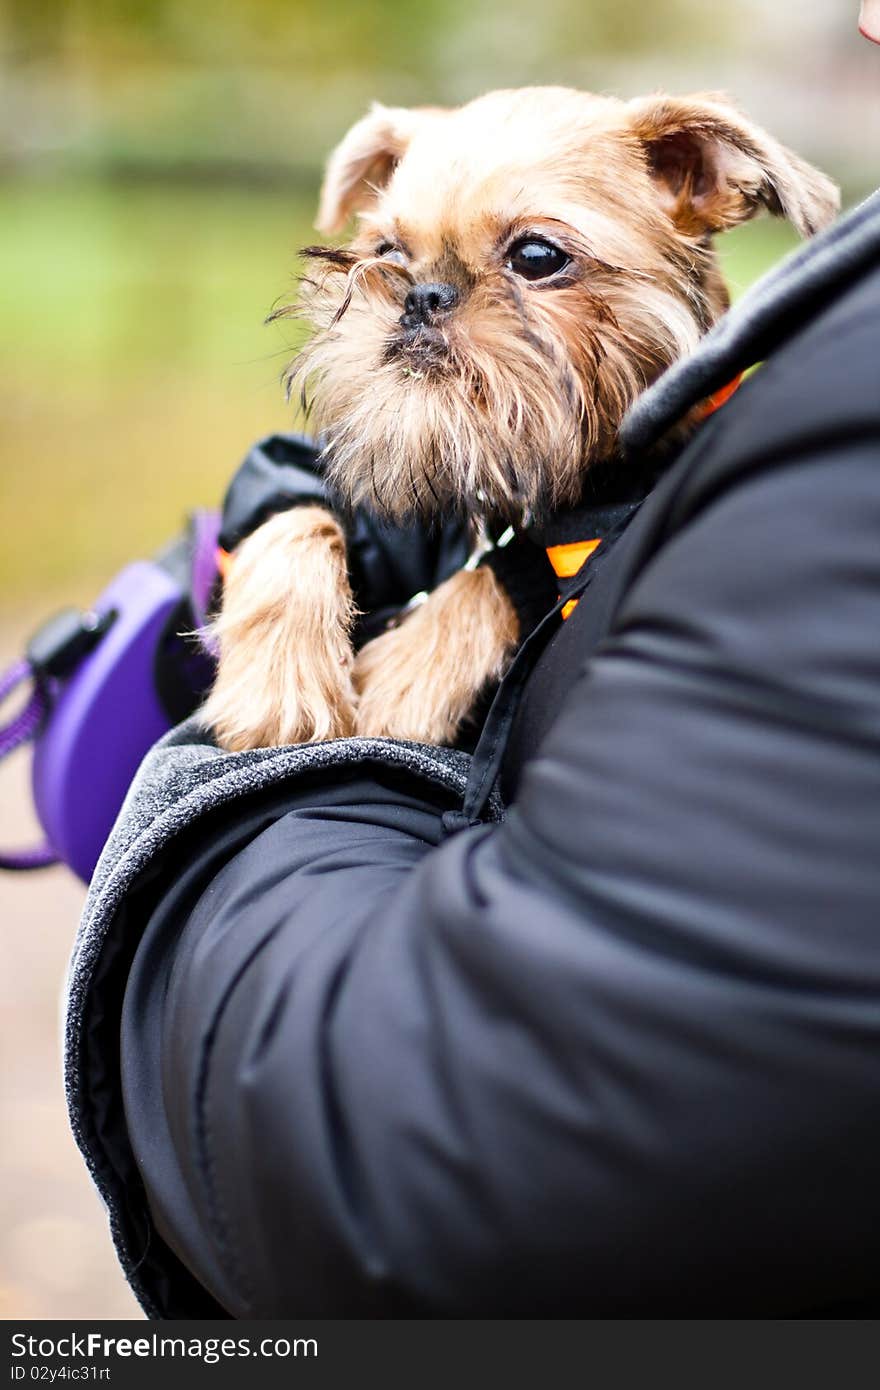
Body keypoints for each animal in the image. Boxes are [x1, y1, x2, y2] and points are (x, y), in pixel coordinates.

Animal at [200, 85, 839, 750]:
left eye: (535, 256)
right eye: (387, 252)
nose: (421, 294)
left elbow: (500, 572)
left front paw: (403, 675)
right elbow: (296, 518)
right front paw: (279, 683)